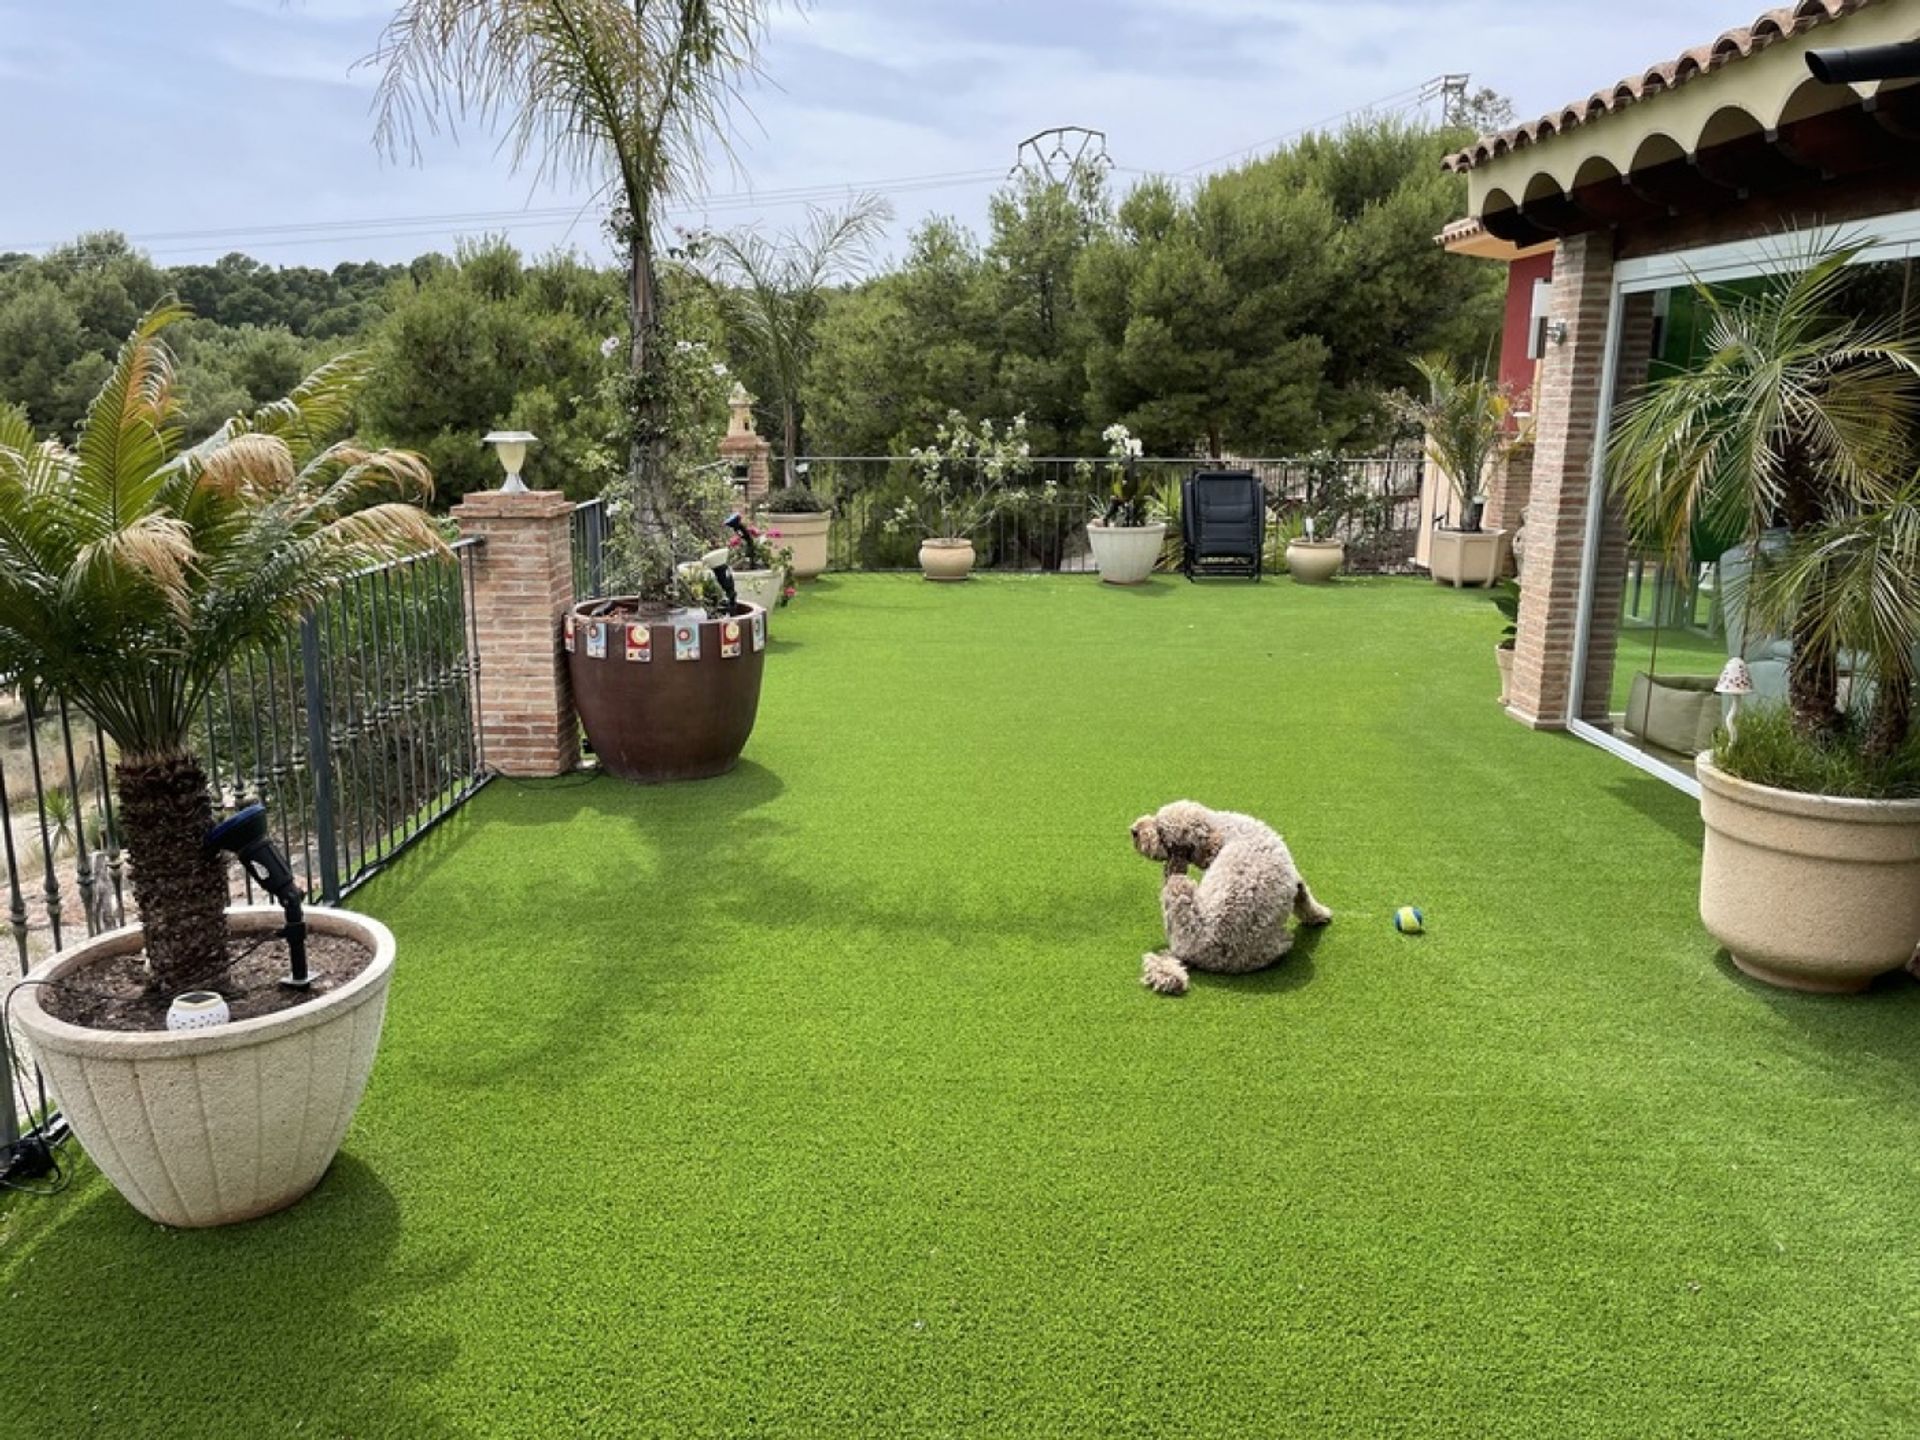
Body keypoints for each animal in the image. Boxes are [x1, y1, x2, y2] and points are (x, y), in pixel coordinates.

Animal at [1128, 806, 1328, 998]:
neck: (1221, 826)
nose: (1134, 830)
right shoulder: (1295, 878)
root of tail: (1193, 953)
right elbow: (1304, 897)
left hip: (1179, 889)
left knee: (1174, 881)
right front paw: (1321, 915)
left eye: (1161, 831)